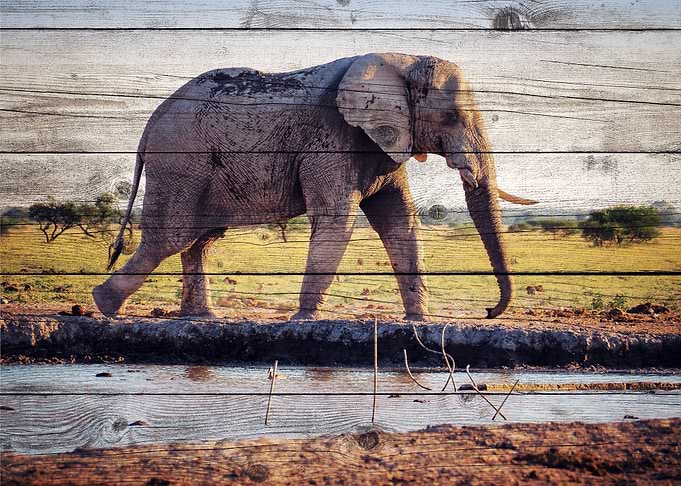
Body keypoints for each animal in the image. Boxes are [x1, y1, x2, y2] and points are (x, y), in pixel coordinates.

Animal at [93, 52, 537, 321]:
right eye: (450, 117)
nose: (488, 313)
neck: (401, 60)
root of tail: (149, 124)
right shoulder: (333, 137)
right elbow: (337, 219)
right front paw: (304, 319)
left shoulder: (380, 141)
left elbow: (400, 222)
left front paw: (418, 322)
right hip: (181, 163)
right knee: (171, 236)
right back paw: (105, 305)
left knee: (200, 239)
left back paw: (201, 317)